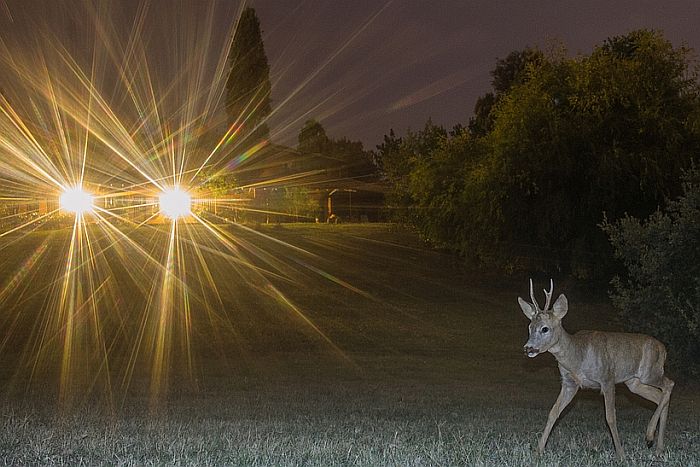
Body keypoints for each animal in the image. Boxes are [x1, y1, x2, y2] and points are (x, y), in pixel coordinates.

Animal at [520, 280, 672, 458]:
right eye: (530, 327)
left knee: (669, 384)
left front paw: (621, 454)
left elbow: (610, 417)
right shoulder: (569, 383)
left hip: (650, 371)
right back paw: (658, 447)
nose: (528, 348)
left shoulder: (607, 378)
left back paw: (649, 436)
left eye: (545, 328)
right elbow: (553, 412)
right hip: (634, 382)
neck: (577, 357)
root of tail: (663, 349)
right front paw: (538, 451)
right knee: (659, 395)